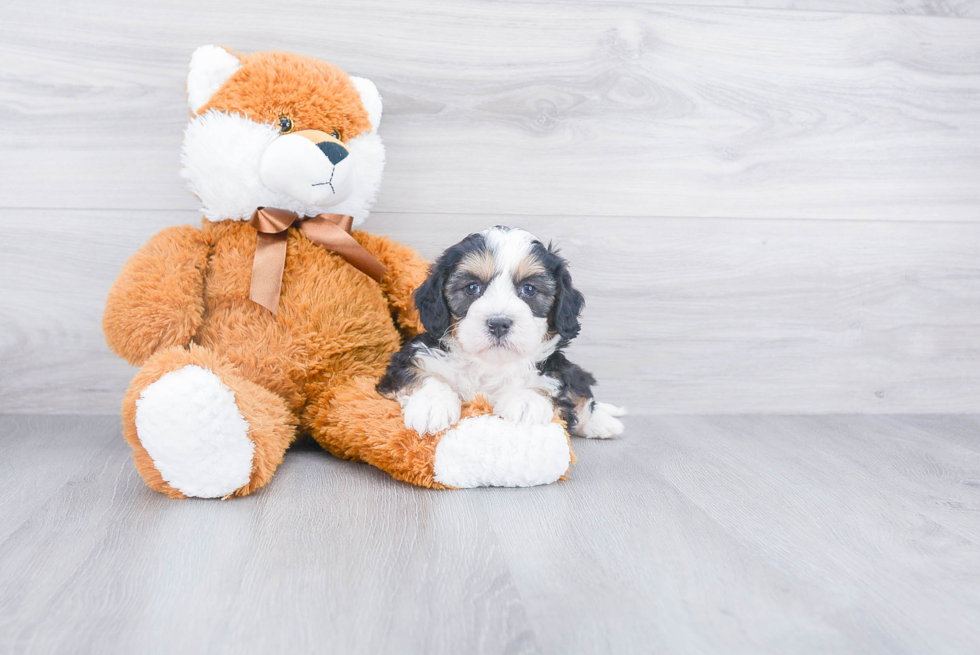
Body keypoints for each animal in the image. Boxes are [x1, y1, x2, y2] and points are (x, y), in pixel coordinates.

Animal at [378, 227, 624, 440]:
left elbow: (550, 386)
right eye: (472, 287)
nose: (498, 323)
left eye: (529, 289)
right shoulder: (406, 361)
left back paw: (604, 423)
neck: (489, 365)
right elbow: (423, 374)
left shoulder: (556, 369)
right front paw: (431, 404)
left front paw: (527, 402)